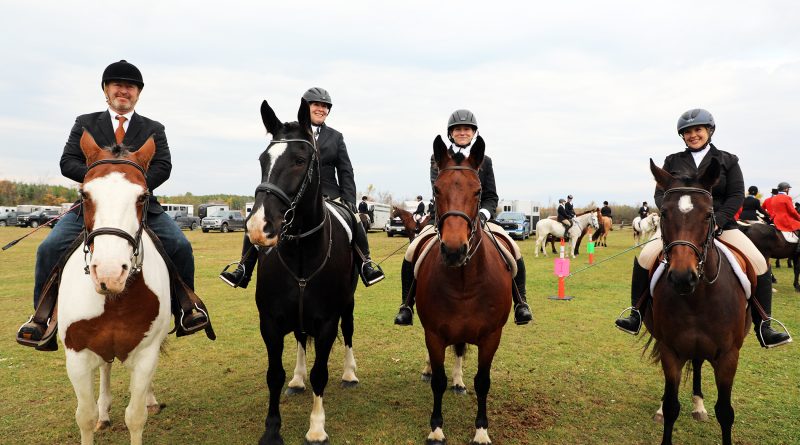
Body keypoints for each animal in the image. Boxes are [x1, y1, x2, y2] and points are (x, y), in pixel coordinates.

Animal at [58, 132, 172, 445]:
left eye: (142, 197)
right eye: (84, 194)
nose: (109, 274)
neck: (115, 300)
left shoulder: (146, 355)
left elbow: (135, 417)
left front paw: (144, 404)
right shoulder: (77, 356)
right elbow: (84, 417)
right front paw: (97, 414)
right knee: (106, 367)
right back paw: (104, 412)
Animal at [246, 99, 359, 445]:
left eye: (298, 160)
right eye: (262, 160)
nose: (259, 227)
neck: (301, 255)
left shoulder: (326, 323)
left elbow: (320, 373)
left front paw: (317, 427)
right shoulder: (269, 322)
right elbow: (274, 374)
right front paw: (271, 430)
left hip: (347, 304)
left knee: (349, 332)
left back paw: (350, 373)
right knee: (298, 338)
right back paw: (297, 380)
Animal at [414, 134, 512, 445]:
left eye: (478, 190)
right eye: (436, 188)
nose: (454, 250)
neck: (464, 283)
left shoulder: (492, 336)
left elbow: (482, 381)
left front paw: (481, 430)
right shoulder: (433, 334)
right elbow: (438, 380)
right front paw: (436, 428)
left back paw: (458, 382)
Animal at [642, 158, 750, 445]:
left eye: (708, 215)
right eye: (664, 213)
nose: (682, 277)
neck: (697, 299)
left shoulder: (728, 356)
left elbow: (725, 412)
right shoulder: (670, 350)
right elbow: (671, 406)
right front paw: (665, 410)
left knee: (699, 363)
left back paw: (699, 405)